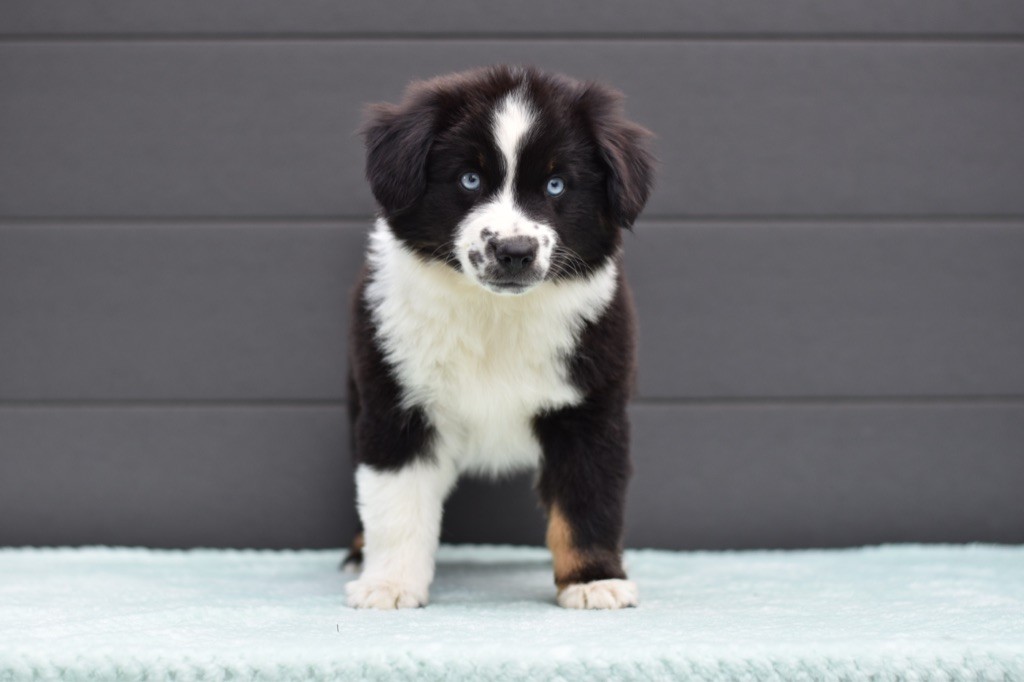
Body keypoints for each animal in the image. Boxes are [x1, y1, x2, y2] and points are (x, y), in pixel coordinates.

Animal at [343, 65, 654, 609]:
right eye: (470, 179)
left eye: (556, 184)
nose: (514, 251)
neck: (495, 314)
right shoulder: (395, 404)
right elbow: (395, 502)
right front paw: (390, 585)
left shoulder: (590, 409)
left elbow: (587, 501)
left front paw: (593, 581)